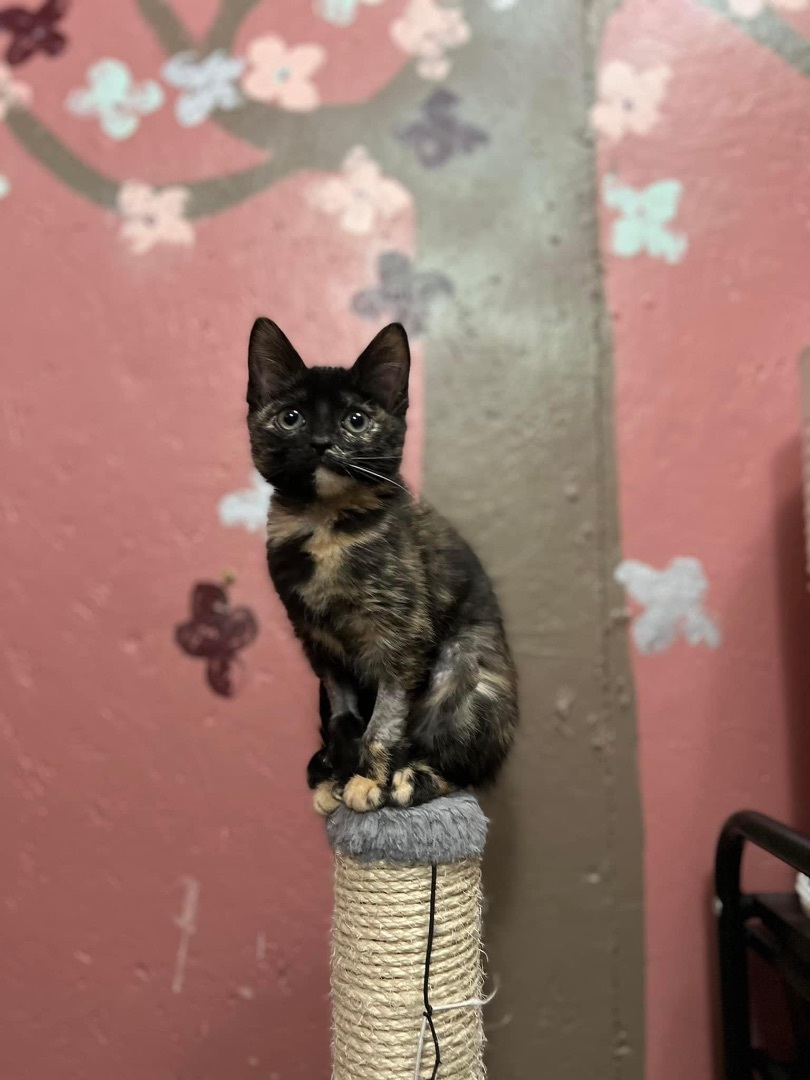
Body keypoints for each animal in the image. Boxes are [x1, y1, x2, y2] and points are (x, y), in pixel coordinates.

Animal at [244, 315, 520, 812]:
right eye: (291, 418)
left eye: (356, 420)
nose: (321, 442)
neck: (326, 524)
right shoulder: (319, 645)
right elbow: (343, 714)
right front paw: (340, 772)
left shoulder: (402, 637)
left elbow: (386, 717)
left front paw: (369, 778)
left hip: (466, 669)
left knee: (462, 765)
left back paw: (412, 778)